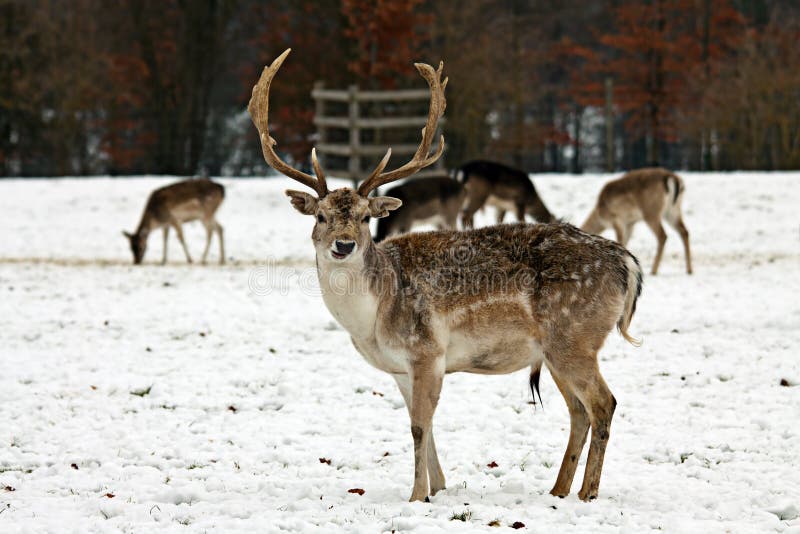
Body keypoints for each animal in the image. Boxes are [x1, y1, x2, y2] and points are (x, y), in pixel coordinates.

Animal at [250, 48, 644, 504]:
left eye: (365, 218)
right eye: (320, 216)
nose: (343, 245)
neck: (373, 319)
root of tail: (628, 263)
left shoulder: (427, 351)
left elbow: (419, 426)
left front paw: (417, 495)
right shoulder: (399, 369)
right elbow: (426, 426)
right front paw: (437, 487)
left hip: (574, 337)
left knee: (603, 403)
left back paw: (587, 495)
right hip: (555, 350)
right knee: (578, 410)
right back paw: (558, 491)